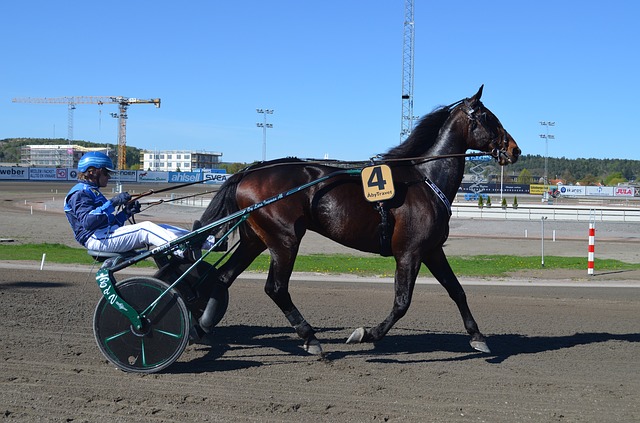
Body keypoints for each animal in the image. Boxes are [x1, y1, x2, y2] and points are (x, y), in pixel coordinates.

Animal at [195, 85, 520, 354]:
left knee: (224, 277)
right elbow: (402, 302)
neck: (425, 179)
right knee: (276, 288)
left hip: (256, 239)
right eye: (489, 117)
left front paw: (477, 336)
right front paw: (367, 333)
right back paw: (310, 337)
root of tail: (249, 171)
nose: (514, 149)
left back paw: (203, 327)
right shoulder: (409, 252)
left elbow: (457, 290)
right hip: (284, 240)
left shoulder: (431, 250)